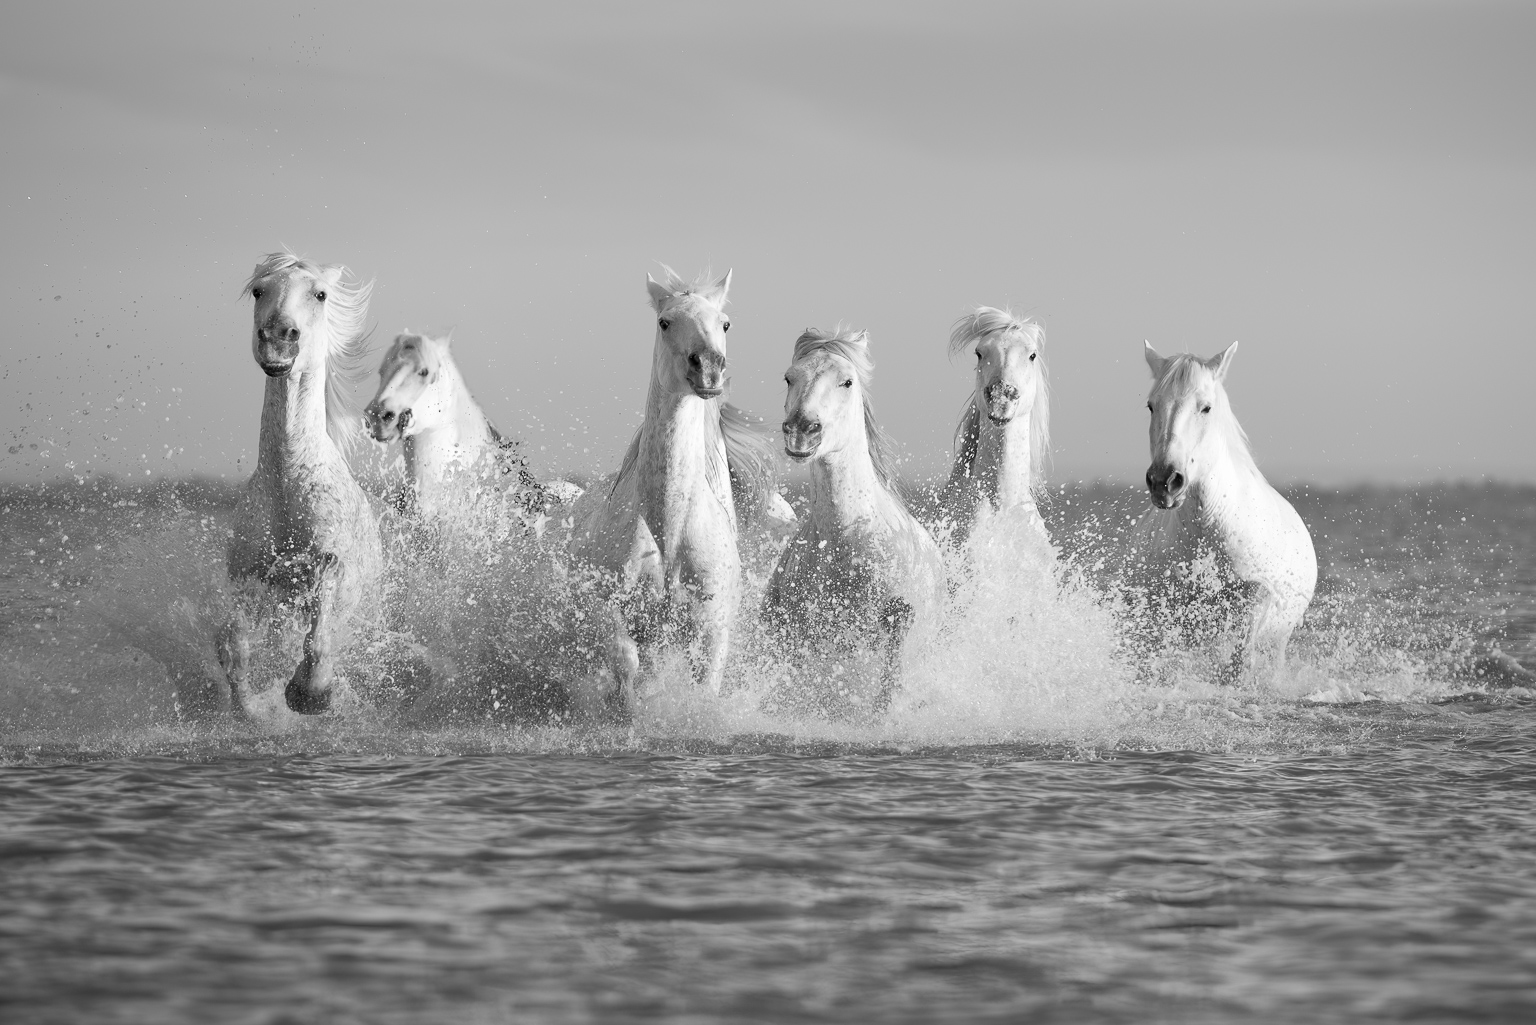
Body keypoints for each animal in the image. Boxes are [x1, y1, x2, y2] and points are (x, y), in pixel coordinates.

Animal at [218, 252, 383, 718]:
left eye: (320, 294)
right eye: (259, 290)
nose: (278, 339)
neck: (289, 479)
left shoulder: (329, 566)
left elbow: (318, 642)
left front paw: (309, 694)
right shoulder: (247, 575)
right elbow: (235, 648)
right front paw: (252, 710)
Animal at [567, 266, 781, 715]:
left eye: (725, 323)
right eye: (664, 322)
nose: (709, 369)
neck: (670, 528)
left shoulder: (712, 627)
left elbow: (705, 683)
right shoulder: (614, 613)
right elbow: (625, 664)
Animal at [1142, 340, 1317, 681]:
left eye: (1206, 408)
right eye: (1151, 406)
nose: (1164, 481)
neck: (1211, 528)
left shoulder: (1258, 595)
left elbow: (1241, 653)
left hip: (1280, 639)